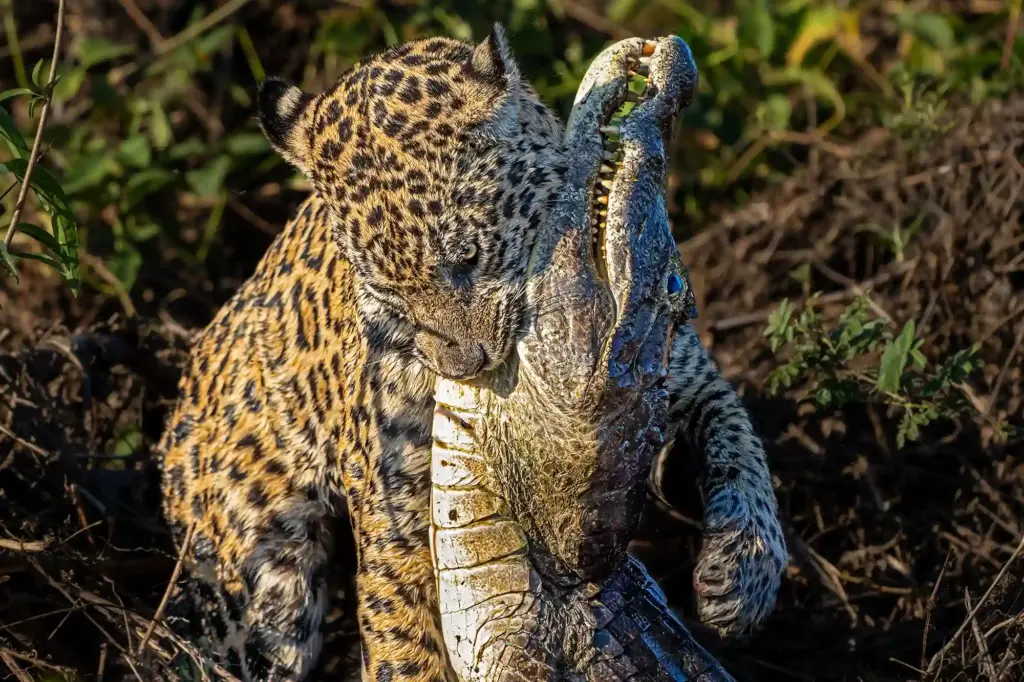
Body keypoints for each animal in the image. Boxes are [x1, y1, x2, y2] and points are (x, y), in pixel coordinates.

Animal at [157, 23, 788, 682]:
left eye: (468, 257)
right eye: (386, 289)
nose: (463, 365)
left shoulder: (683, 369)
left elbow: (740, 440)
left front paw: (743, 575)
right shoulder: (395, 501)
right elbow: (402, 631)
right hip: (262, 583)